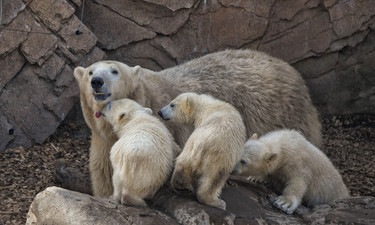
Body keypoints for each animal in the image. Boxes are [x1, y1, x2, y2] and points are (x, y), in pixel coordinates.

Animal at [74, 49, 324, 197]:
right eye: (90, 71)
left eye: (114, 70)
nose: (97, 82)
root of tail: (290, 70)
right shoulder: (103, 139)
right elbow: (104, 170)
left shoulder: (172, 126)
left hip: (283, 112)